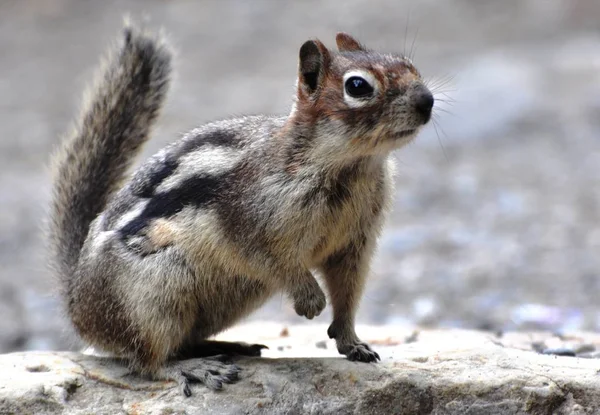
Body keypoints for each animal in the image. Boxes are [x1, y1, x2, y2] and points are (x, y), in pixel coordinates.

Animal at [47, 22, 432, 396]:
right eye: (357, 86)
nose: (426, 100)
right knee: (147, 361)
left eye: (409, 66)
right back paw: (193, 368)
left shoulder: (356, 242)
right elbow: (273, 260)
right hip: (153, 300)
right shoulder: (250, 221)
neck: (352, 166)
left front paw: (352, 341)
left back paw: (231, 346)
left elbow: (348, 292)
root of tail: (76, 301)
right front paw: (310, 299)